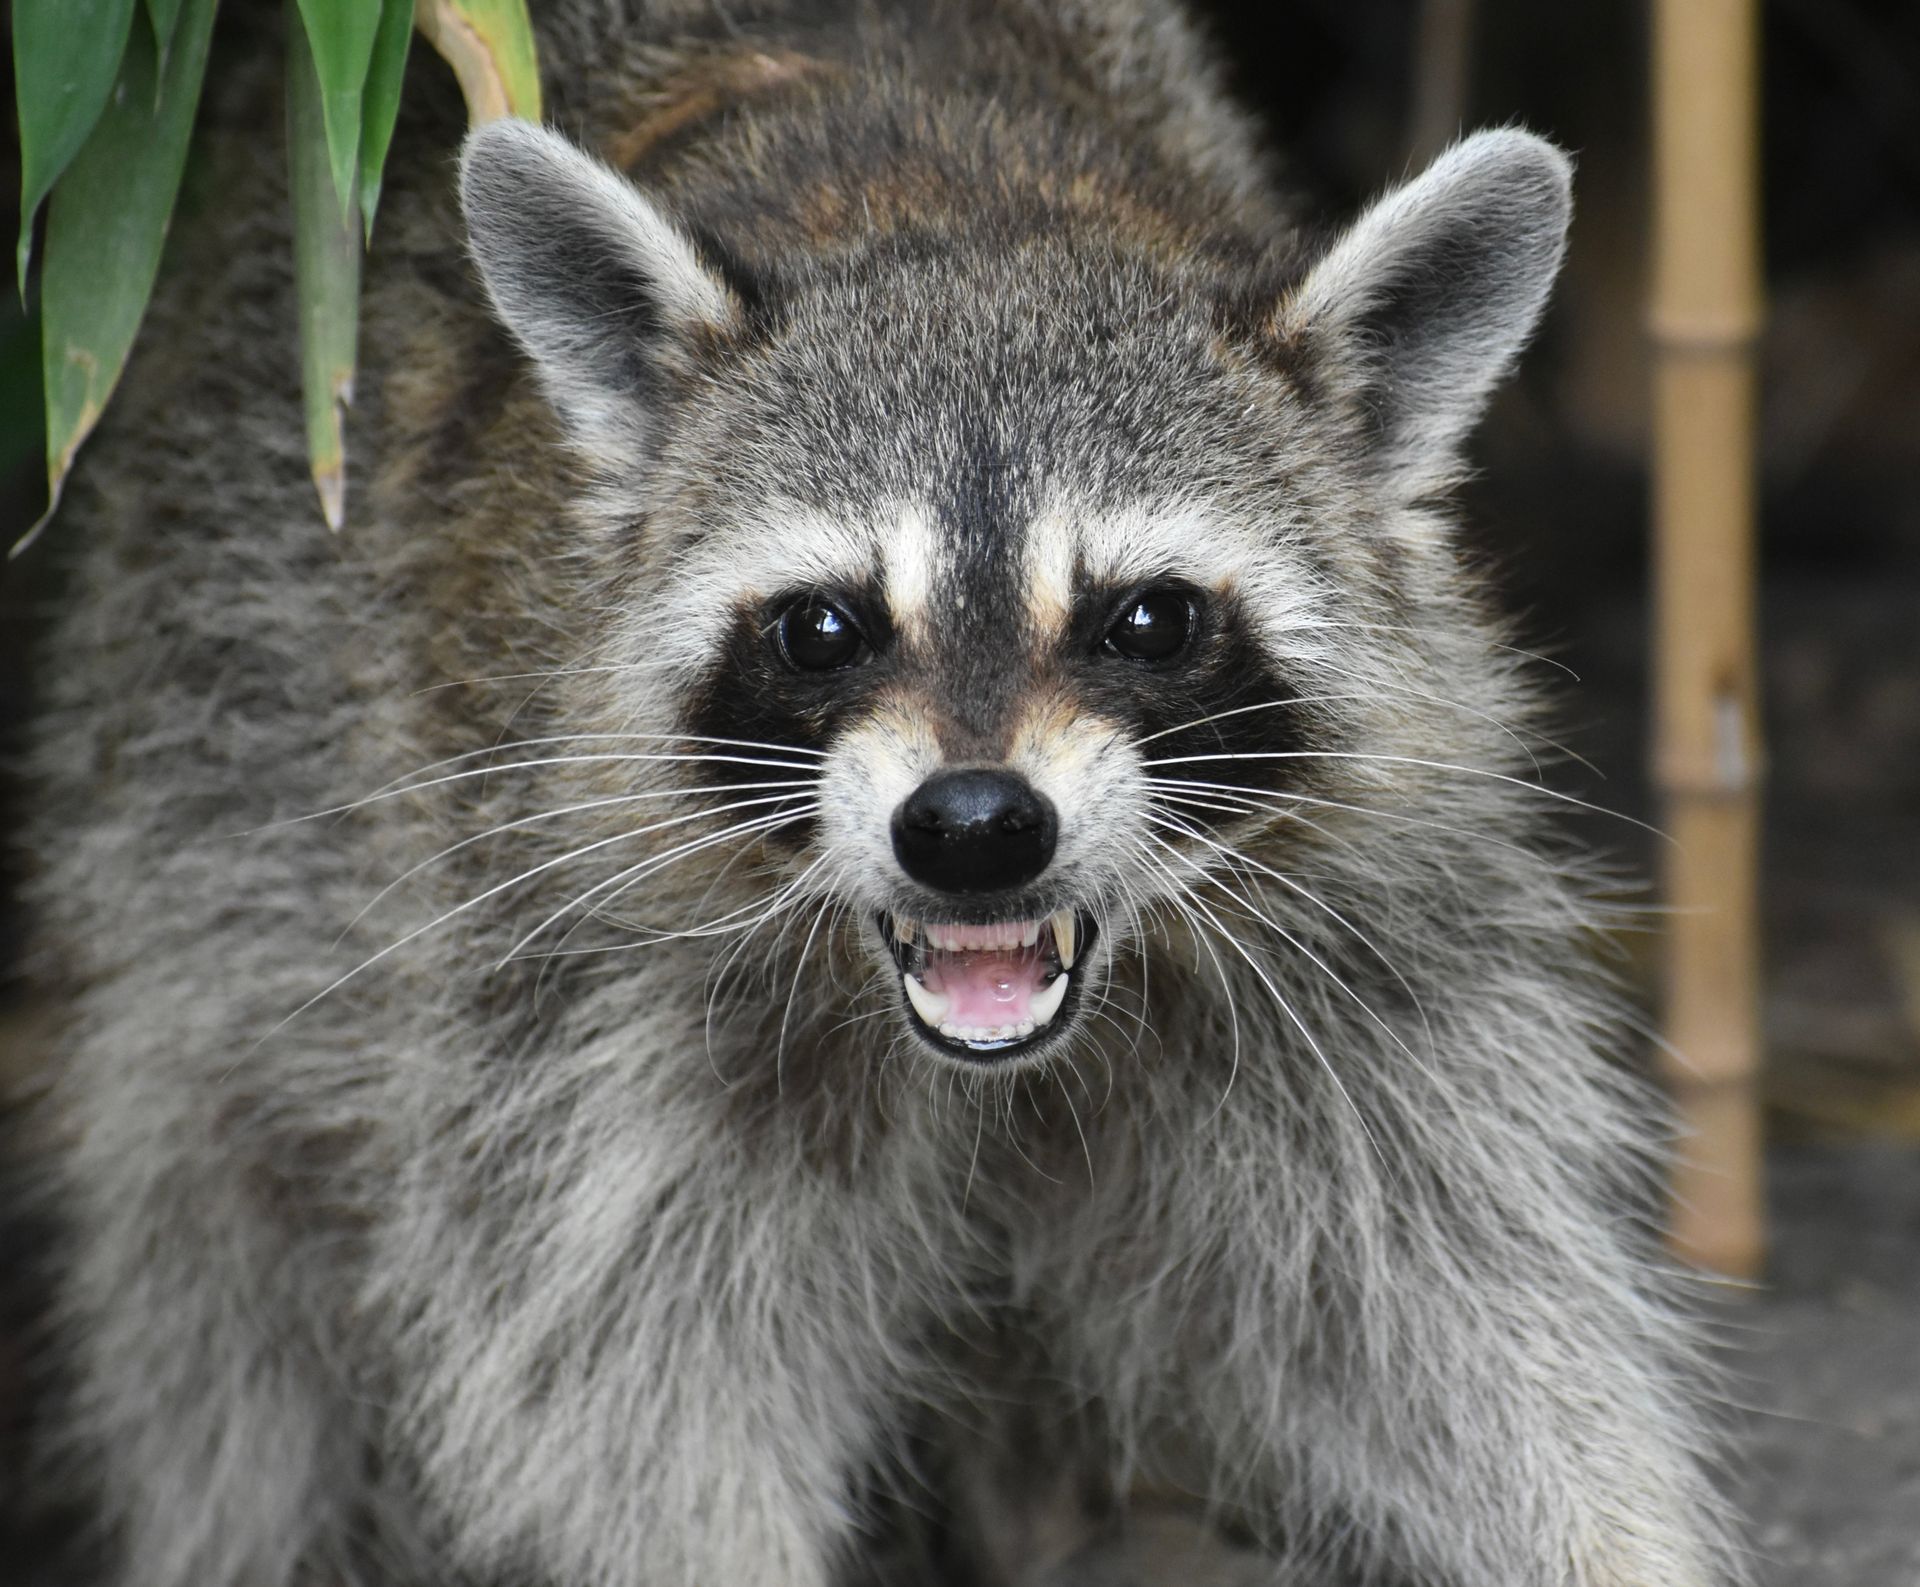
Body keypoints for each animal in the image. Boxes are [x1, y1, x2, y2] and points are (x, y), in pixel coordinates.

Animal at [16, 1, 1739, 1584]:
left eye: (1148, 619)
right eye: (824, 626)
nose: (974, 829)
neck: (949, 212)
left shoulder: (1362, 945)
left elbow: (1452, 1312)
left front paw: (1603, 1531)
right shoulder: (550, 981)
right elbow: (631, 1393)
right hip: (211, 720)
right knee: (214, 1283)